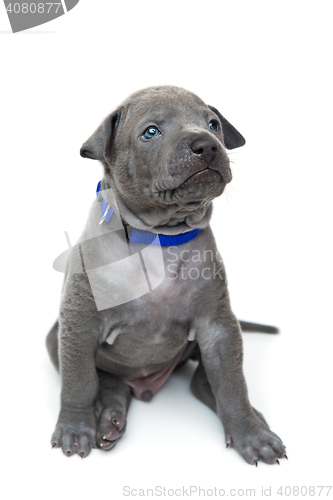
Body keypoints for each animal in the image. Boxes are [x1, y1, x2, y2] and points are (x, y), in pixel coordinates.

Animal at [46, 86, 286, 464]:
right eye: (151, 132)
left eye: (213, 124)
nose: (207, 145)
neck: (159, 238)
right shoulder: (78, 325)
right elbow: (80, 381)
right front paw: (75, 427)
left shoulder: (218, 327)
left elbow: (232, 383)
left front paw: (251, 433)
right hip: (56, 338)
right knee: (109, 382)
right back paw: (109, 417)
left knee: (203, 382)